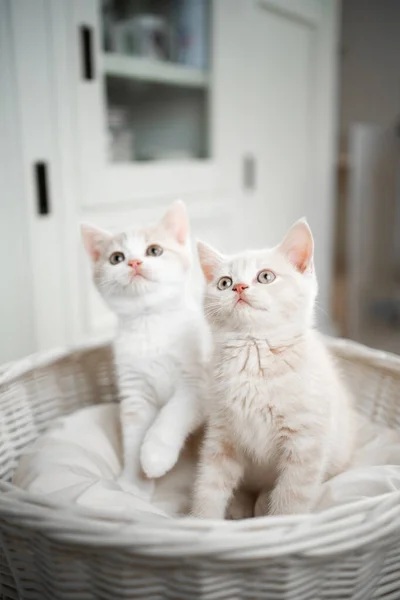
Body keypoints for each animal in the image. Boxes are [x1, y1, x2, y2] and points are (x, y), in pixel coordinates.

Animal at [79, 202, 208, 492]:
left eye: (154, 251)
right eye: (116, 258)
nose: (134, 262)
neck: (150, 324)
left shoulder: (197, 384)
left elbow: (172, 414)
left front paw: (155, 456)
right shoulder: (135, 392)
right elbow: (134, 436)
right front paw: (133, 484)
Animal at [193, 218, 354, 516]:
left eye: (265, 277)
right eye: (224, 282)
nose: (239, 287)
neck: (254, 352)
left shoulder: (305, 444)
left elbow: (291, 498)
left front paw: (280, 522)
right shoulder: (222, 435)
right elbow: (208, 486)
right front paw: (201, 521)